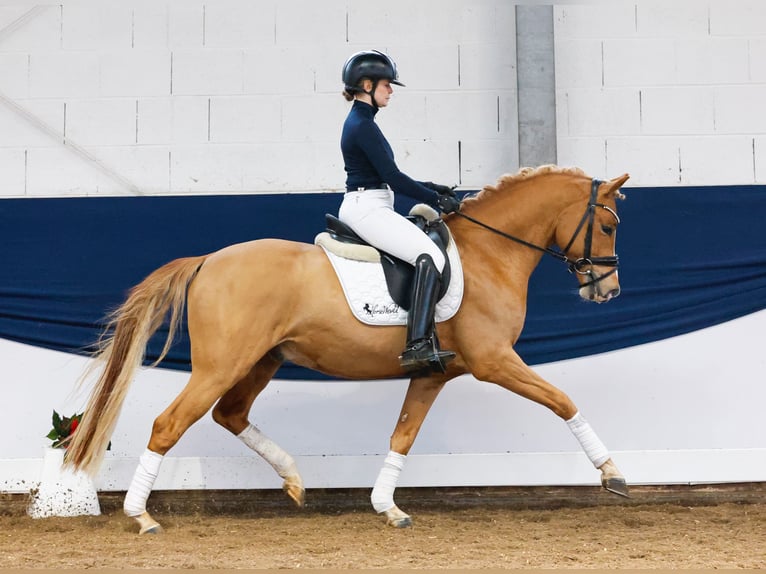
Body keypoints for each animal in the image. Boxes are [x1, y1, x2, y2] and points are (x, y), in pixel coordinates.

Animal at [64, 165, 632, 536]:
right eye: (607, 226)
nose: (607, 291)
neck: (490, 254)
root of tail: (208, 260)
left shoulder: (433, 373)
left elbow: (403, 434)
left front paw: (387, 507)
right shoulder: (495, 361)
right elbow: (563, 401)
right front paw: (612, 474)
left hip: (262, 360)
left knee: (230, 414)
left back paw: (293, 479)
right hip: (222, 364)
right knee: (170, 424)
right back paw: (141, 516)